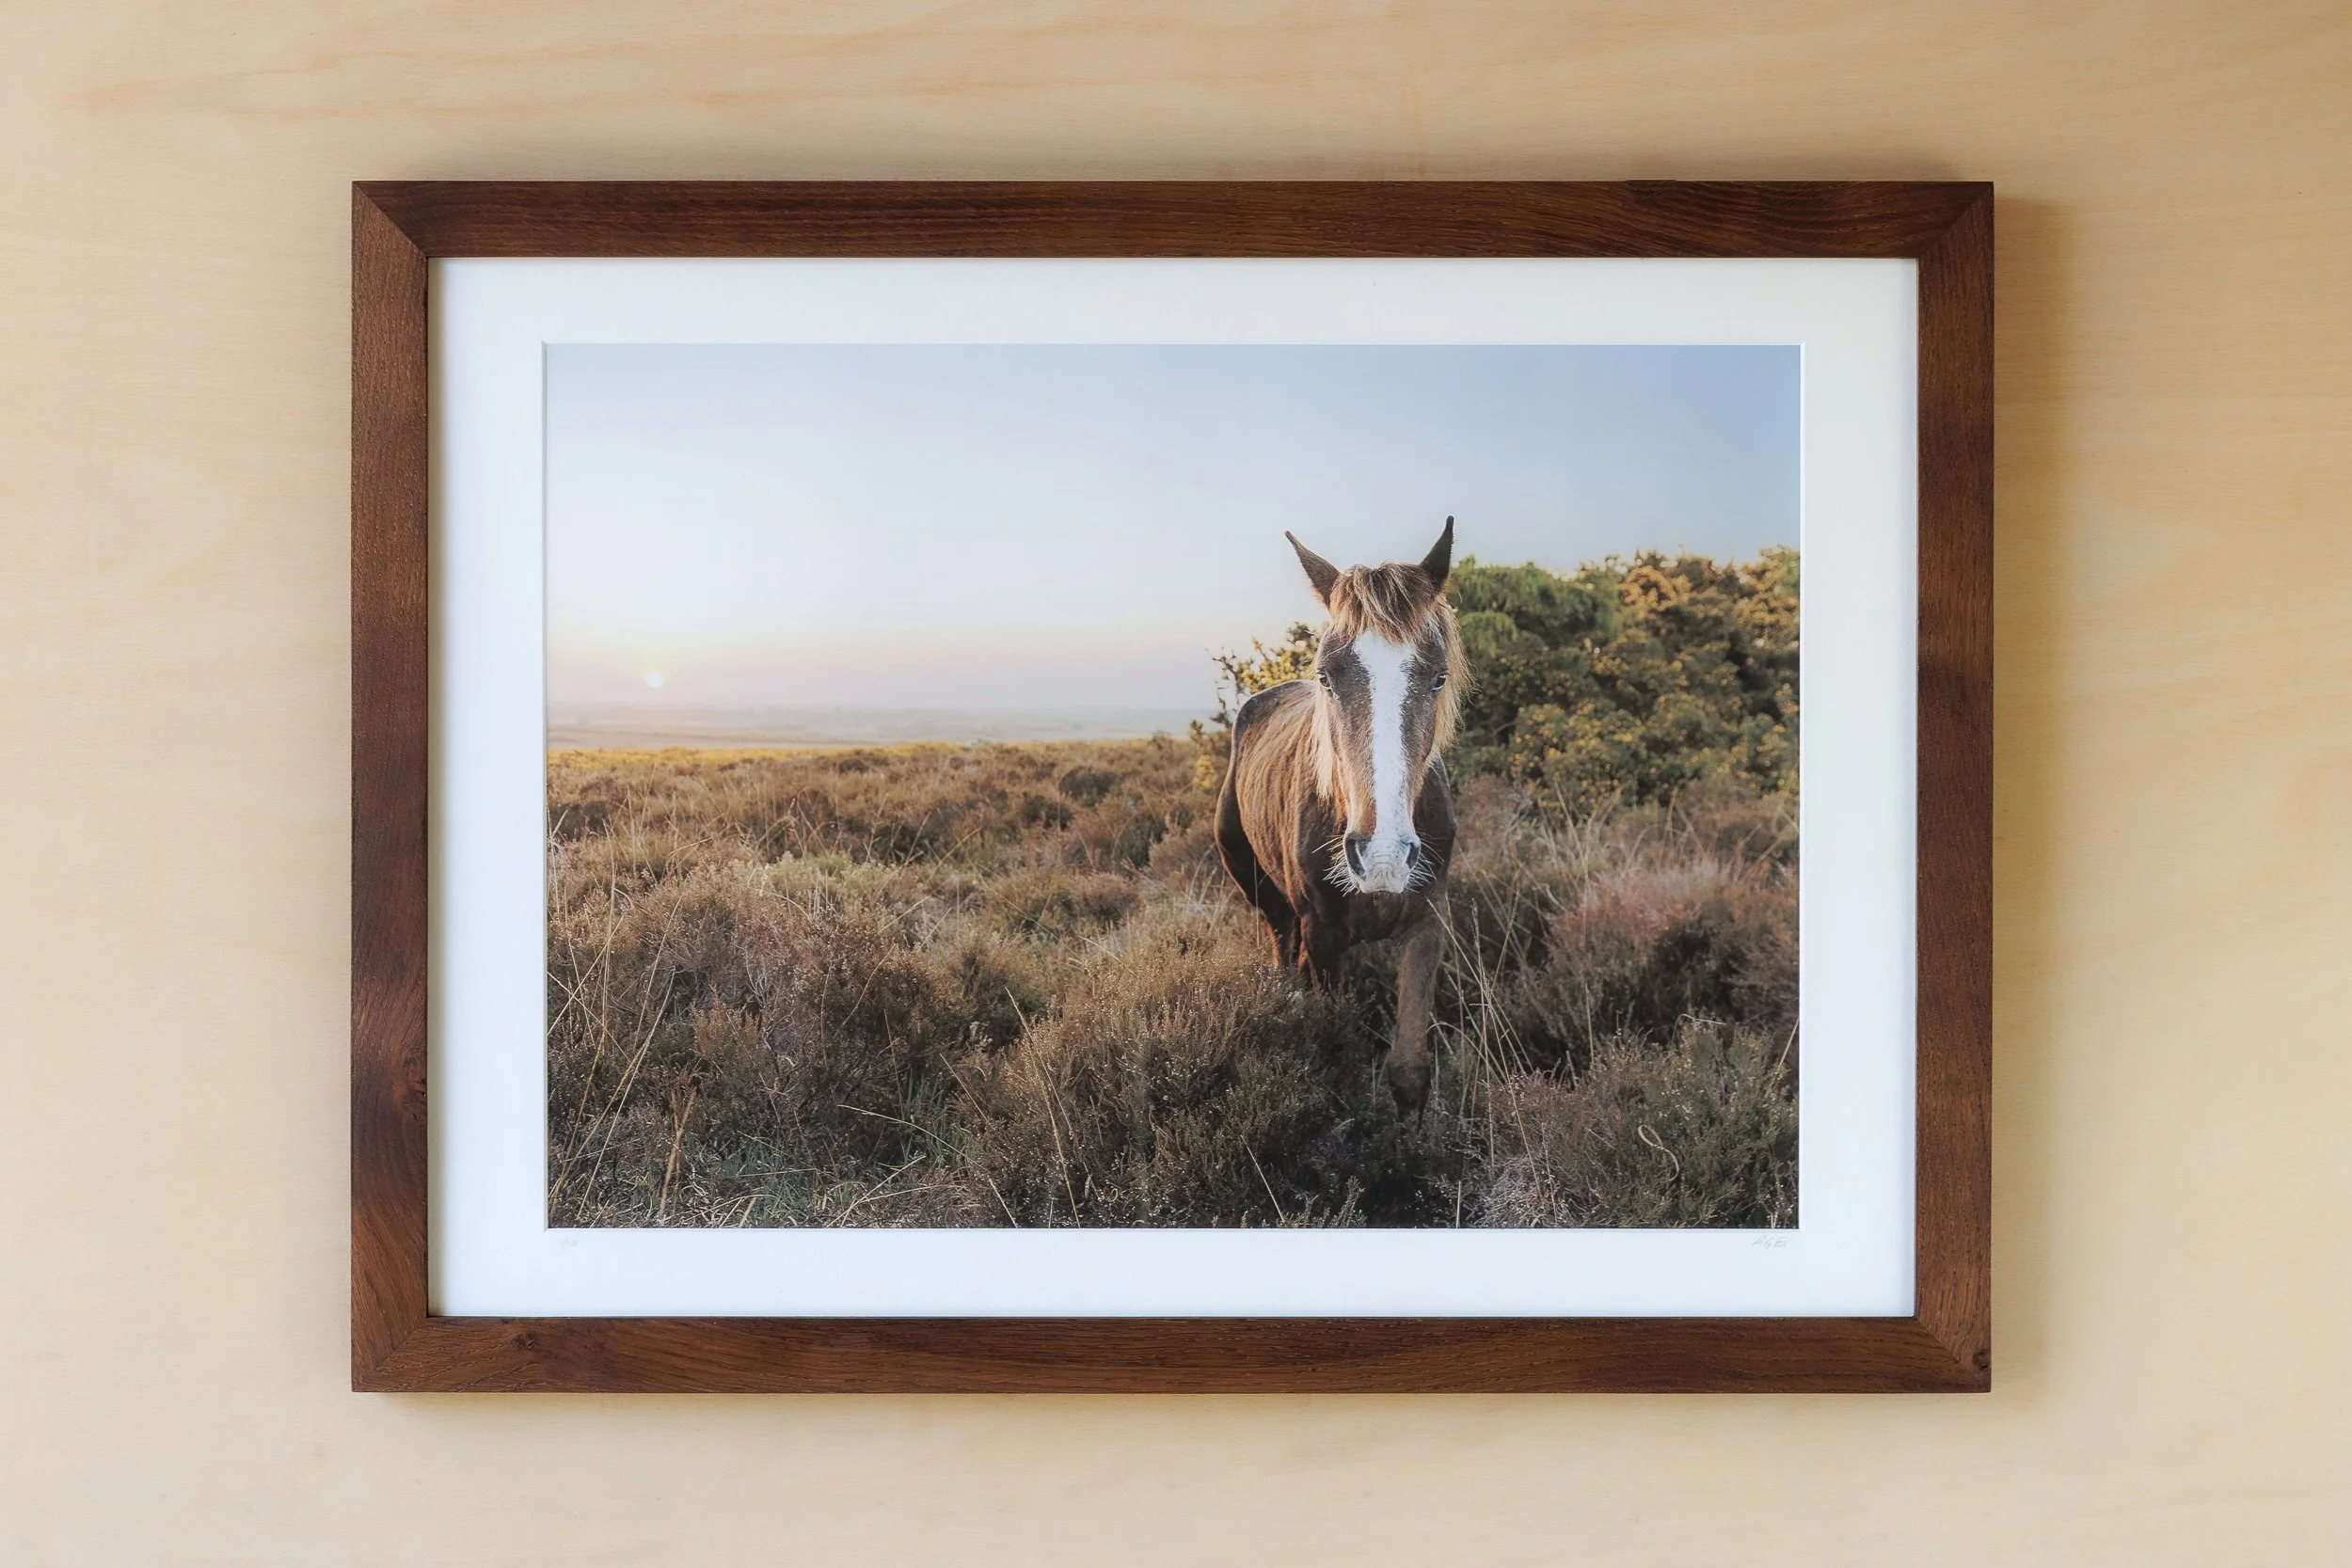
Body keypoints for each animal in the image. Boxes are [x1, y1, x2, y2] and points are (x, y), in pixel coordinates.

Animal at [1213, 517, 1468, 1115]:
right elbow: (1338, 1056)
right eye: (1327, 677)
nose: (1382, 857)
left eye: (1438, 678)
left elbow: (1408, 1071)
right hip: (1259, 891)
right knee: (1281, 949)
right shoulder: (1323, 938)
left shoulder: (1427, 925)